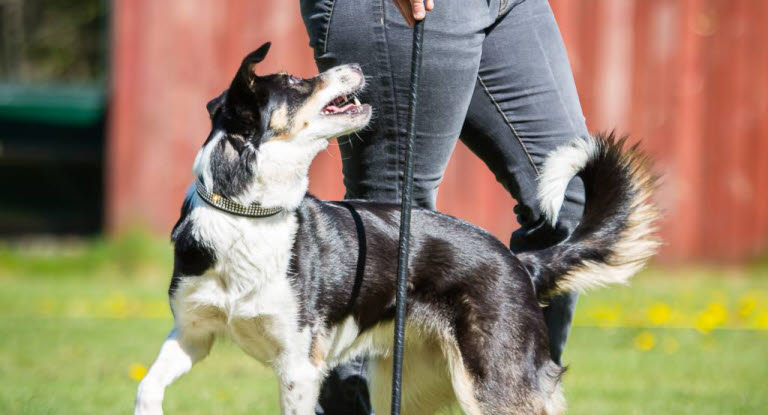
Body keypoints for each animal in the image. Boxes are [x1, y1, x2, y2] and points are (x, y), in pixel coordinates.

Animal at [134, 43, 660, 415]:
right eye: (297, 82)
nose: (354, 64)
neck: (248, 216)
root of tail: (519, 262)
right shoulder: (192, 335)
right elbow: (146, 387)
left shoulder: (300, 367)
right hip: (411, 386)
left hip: (494, 384)